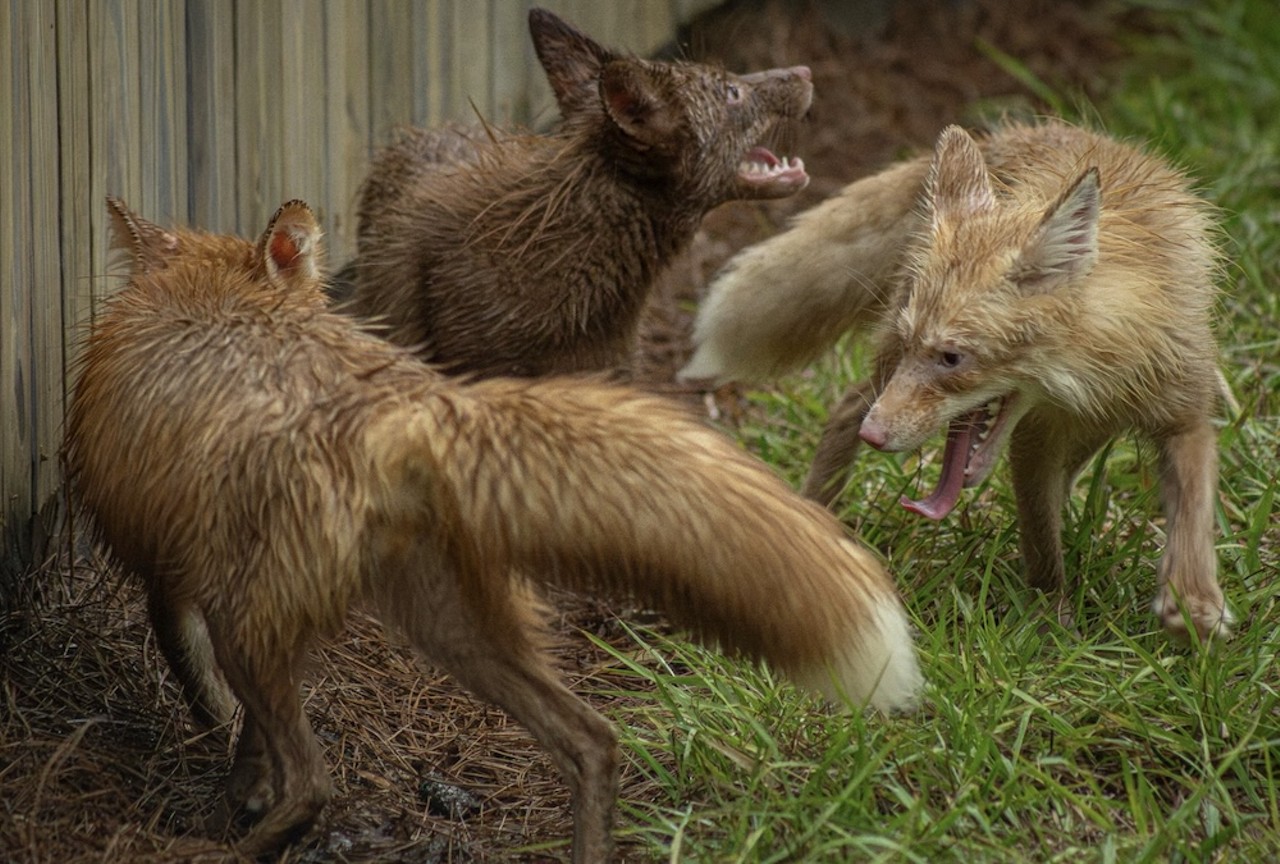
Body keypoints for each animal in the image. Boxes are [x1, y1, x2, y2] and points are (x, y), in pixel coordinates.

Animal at [64, 199, 921, 860]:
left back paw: (221, 851)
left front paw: (226, 799)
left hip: (270, 623)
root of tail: (415, 406)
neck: (221, 293)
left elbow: (207, 697)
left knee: (315, 783)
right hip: (452, 629)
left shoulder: (171, 576)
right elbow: (247, 743)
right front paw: (238, 792)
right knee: (593, 743)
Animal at [680, 119, 1228, 642]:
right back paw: (818, 521)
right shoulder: (1034, 441)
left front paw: (1192, 600)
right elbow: (1043, 552)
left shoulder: (1183, 408)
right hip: (881, 369)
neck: (1097, 373)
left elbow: (1195, 505)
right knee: (843, 410)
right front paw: (1053, 624)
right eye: (917, 347)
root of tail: (1005, 135)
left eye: (951, 358)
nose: (874, 436)